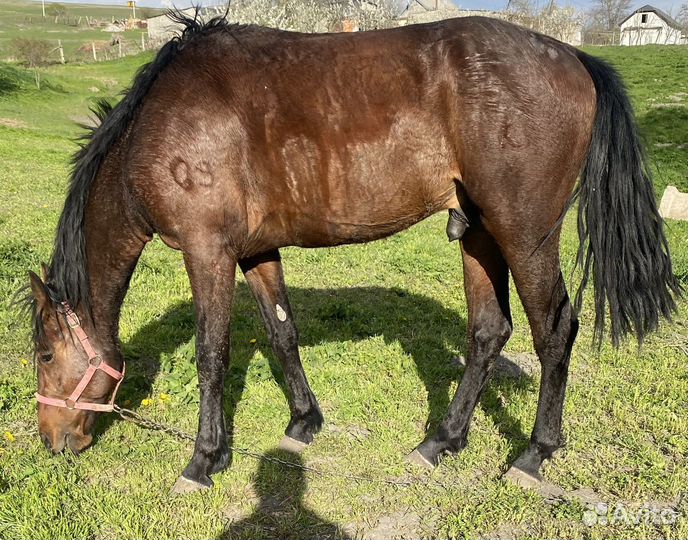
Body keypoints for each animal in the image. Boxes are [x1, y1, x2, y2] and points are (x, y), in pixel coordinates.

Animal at [23, 12, 681, 494]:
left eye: (46, 355)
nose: (54, 442)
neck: (157, 125)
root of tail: (573, 57)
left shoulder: (207, 250)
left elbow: (212, 355)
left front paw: (204, 459)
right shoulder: (256, 251)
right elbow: (281, 331)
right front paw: (302, 422)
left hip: (524, 234)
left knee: (554, 331)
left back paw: (535, 455)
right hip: (478, 233)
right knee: (488, 333)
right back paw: (440, 442)